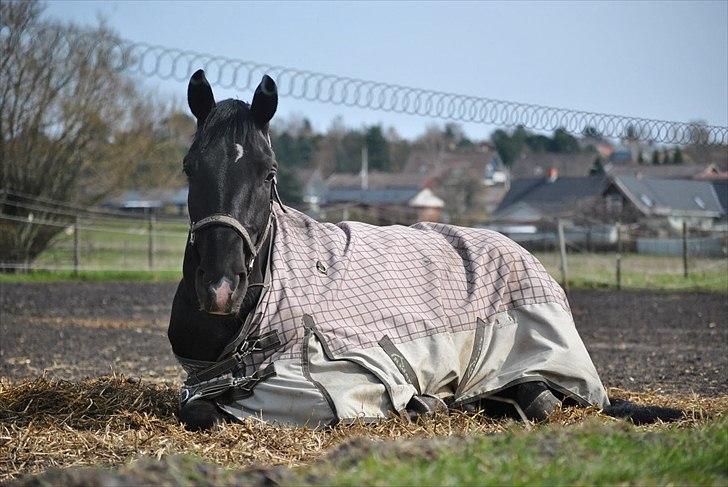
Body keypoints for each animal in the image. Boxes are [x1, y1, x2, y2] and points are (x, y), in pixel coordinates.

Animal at [168, 69, 680, 430]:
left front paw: (419, 404)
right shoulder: (199, 383)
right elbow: (198, 409)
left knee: (545, 398)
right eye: (189, 167)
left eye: (269, 173)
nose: (220, 287)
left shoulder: (335, 383)